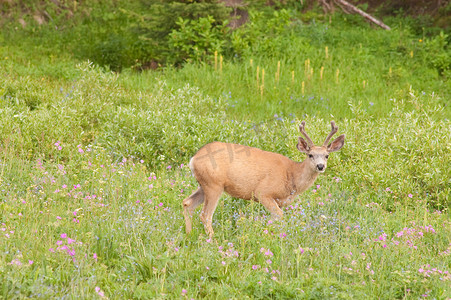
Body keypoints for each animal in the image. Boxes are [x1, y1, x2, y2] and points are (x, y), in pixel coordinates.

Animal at [182, 120, 344, 237]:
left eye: (326, 155)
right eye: (310, 155)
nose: (320, 166)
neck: (291, 175)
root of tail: (193, 159)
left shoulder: (281, 201)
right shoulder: (263, 192)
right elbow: (278, 216)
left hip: (204, 184)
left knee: (187, 203)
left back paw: (189, 234)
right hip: (214, 184)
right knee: (205, 215)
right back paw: (213, 240)